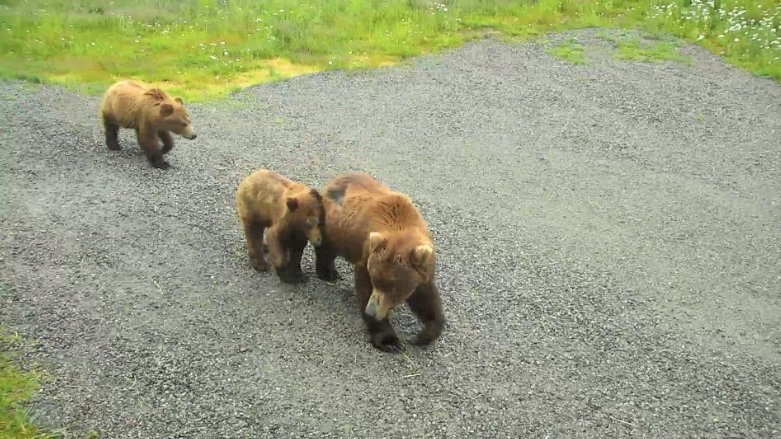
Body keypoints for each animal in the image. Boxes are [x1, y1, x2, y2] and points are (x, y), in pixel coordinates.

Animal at [314, 172, 445, 352]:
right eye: (375, 279)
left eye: (392, 286)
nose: (371, 311)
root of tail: (334, 180)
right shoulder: (366, 256)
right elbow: (364, 288)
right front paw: (389, 340)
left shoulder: (421, 271)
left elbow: (426, 298)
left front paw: (423, 335)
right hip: (333, 226)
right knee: (326, 247)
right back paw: (328, 272)